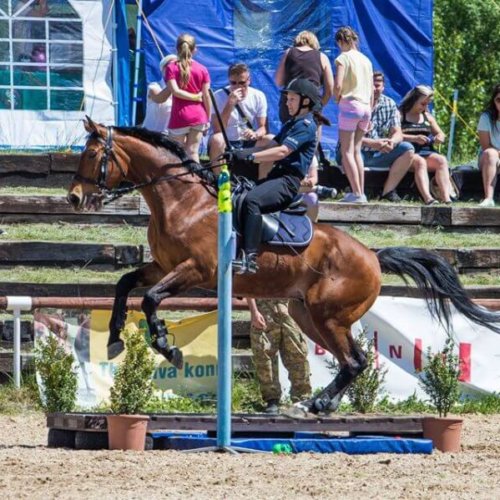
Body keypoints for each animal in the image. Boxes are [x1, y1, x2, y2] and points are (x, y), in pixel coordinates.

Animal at [67, 117, 500, 414]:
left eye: (92, 154)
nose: (73, 198)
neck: (182, 201)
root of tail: (372, 257)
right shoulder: (163, 265)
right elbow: (126, 285)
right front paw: (115, 337)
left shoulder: (197, 271)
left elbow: (152, 299)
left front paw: (165, 345)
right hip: (306, 314)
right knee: (353, 361)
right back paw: (319, 404)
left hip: (329, 315)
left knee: (354, 361)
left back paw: (317, 403)